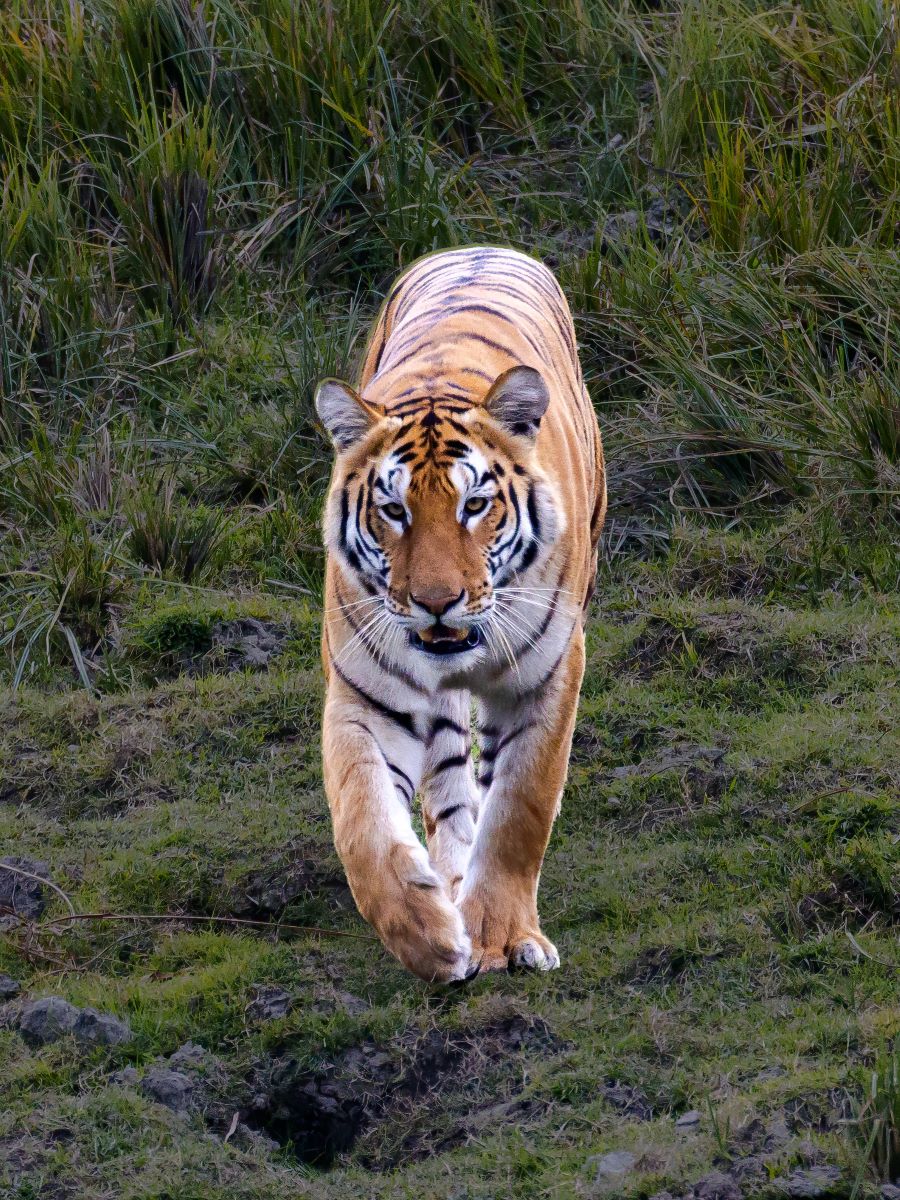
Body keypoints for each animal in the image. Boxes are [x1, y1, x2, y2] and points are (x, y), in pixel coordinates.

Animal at [314, 246, 607, 984]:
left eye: (475, 505)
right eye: (393, 510)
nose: (436, 601)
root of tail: (478, 246)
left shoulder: (547, 677)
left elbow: (519, 809)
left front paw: (503, 938)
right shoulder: (366, 696)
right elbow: (362, 821)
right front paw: (429, 936)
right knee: (447, 784)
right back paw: (448, 888)